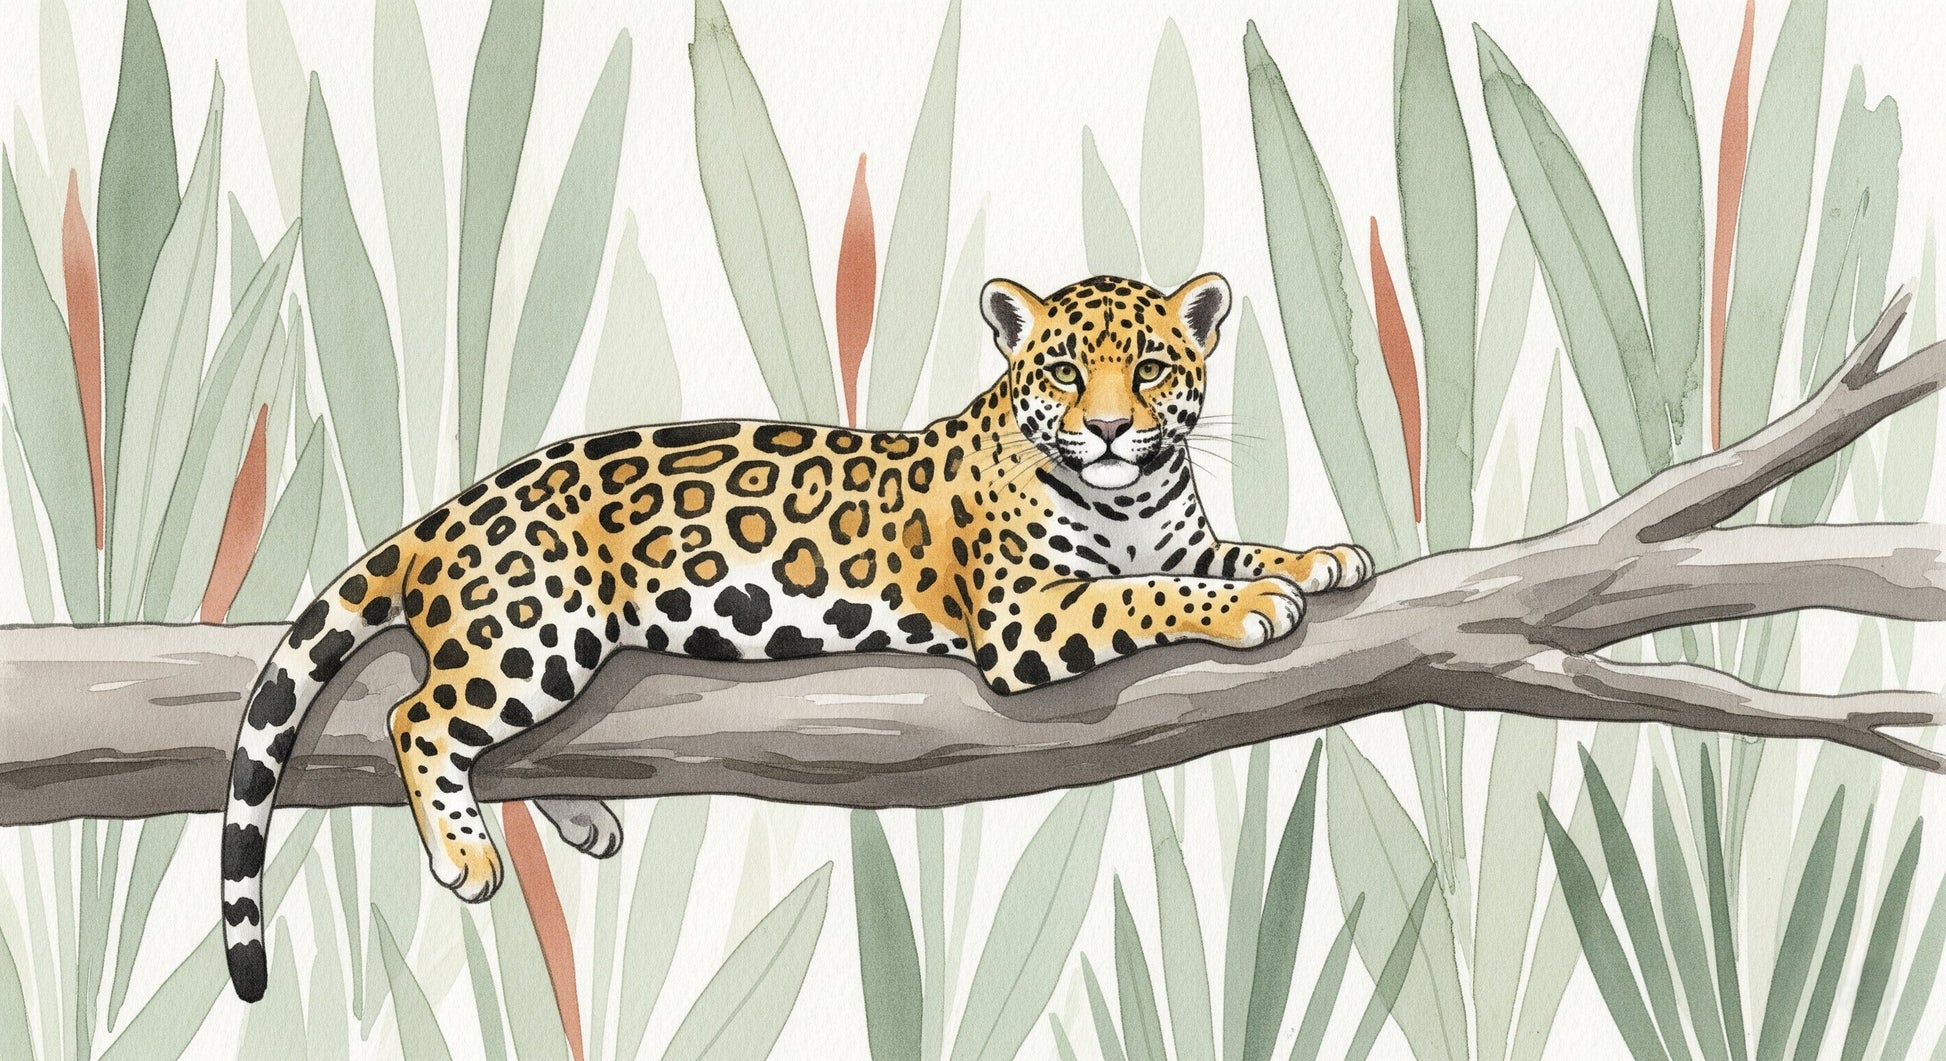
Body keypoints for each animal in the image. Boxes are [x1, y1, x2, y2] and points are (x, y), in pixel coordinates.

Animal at [221, 272, 1374, 1001]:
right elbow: (1149, 595)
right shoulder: (1024, 612)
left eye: (1149, 368)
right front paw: (1248, 607)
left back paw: (583, 815)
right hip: (537, 631)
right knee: (420, 714)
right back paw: (466, 850)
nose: (1105, 431)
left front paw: (1319, 556)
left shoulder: (1178, 536)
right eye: (1059, 373)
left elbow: (1230, 550)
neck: (1131, 498)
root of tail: (447, 512)